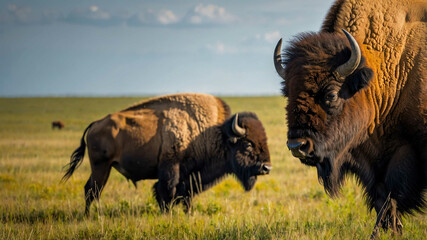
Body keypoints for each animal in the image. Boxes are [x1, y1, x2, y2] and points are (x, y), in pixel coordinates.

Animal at [61, 93, 272, 215]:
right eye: (248, 144)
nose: (267, 167)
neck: (212, 134)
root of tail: (95, 124)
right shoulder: (171, 169)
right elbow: (167, 193)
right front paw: (167, 215)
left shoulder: (189, 177)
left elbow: (185, 195)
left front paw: (187, 214)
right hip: (101, 166)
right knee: (92, 190)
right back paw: (90, 216)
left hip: (103, 168)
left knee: (91, 190)